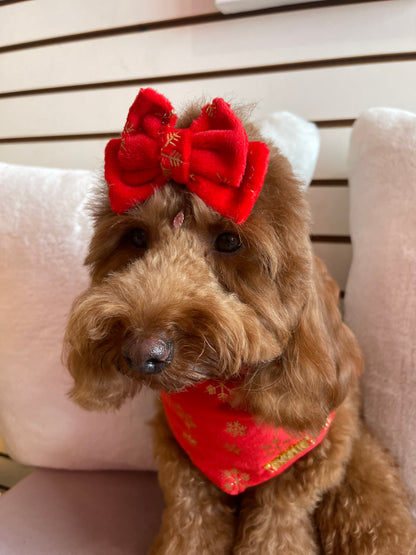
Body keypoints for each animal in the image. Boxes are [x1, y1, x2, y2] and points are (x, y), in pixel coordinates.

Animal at [63, 89, 414, 552]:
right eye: (136, 237)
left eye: (229, 241)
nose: (141, 353)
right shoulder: (183, 474)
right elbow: (191, 528)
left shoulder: (308, 467)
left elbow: (277, 529)